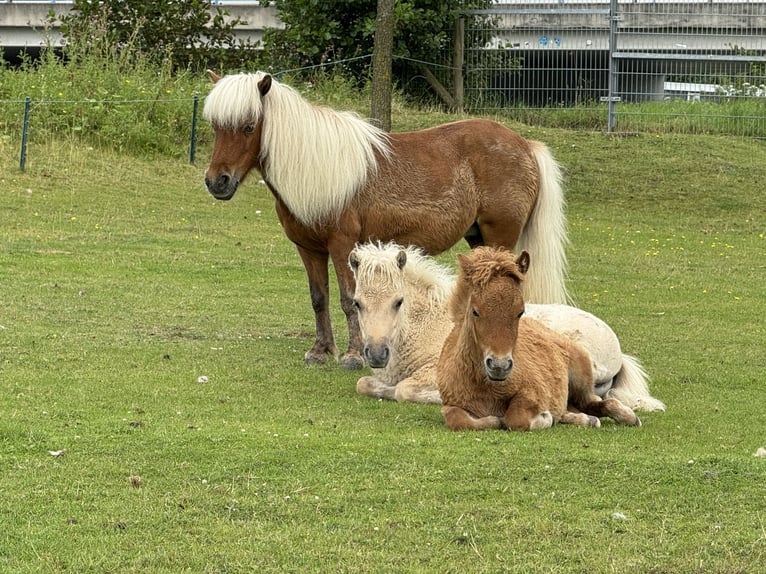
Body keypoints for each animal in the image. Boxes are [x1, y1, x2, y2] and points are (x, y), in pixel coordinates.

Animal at [202, 72, 568, 372]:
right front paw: (321, 351)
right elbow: (319, 299)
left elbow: (349, 299)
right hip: (478, 239)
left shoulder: (343, 246)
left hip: (499, 237)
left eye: (249, 127)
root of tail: (525, 145)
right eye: (216, 127)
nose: (217, 182)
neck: (317, 167)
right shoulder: (309, 249)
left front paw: (353, 356)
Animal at [350, 241, 664, 412]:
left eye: (398, 301)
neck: (427, 325)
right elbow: (364, 384)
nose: (377, 354)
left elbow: (404, 389)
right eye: (357, 303)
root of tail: (618, 354)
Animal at [438, 248, 640, 432]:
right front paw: (493, 420)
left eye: (520, 312)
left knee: (596, 402)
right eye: (475, 311)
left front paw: (543, 418)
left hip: (581, 379)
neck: (485, 386)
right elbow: (457, 420)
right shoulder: (451, 403)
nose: (499, 366)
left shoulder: (533, 392)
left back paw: (628, 416)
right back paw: (584, 419)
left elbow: (515, 418)